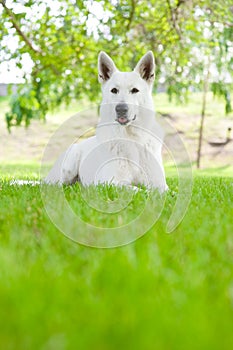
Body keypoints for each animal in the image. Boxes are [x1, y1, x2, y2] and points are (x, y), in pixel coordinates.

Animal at [44, 50, 167, 191]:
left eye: (135, 90)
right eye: (114, 90)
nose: (121, 109)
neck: (130, 137)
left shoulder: (160, 185)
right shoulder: (109, 183)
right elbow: (137, 189)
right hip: (69, 165)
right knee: (58, 186)